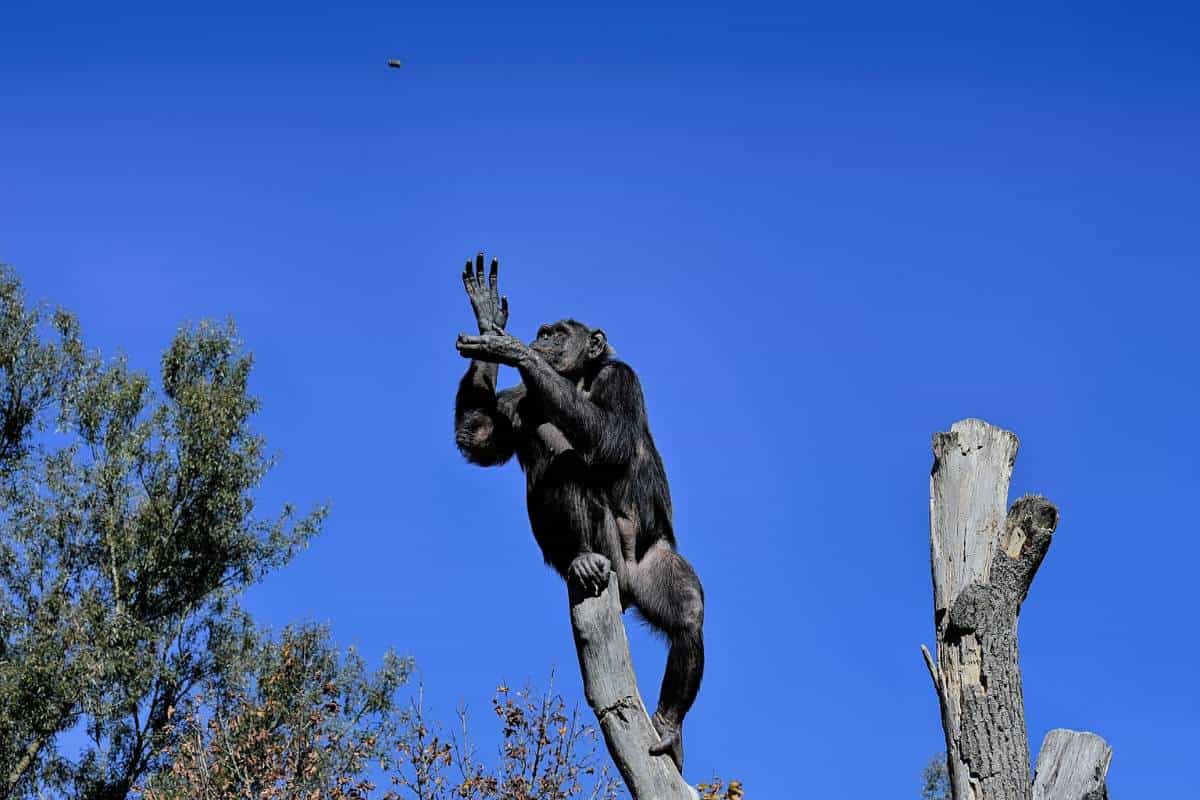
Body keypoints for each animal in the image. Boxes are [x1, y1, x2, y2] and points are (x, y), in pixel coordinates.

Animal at [456, 253, 700, 772]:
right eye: (545, 330)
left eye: (560, 332)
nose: (543, 341)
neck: (578, 380)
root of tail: (624, 587)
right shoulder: (515, 401)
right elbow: (480, 436)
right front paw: (489, 322)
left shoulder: (622, 378)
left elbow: (610, 436)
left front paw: (511, 348)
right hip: (607, 553)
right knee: (559, 458)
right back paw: (582, 558)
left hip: (651, 567)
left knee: (689, 613)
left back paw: (670, 727)